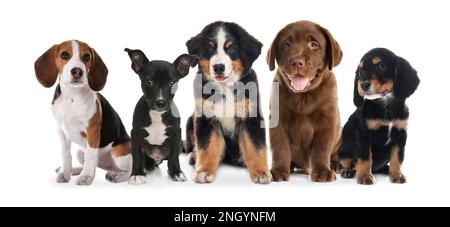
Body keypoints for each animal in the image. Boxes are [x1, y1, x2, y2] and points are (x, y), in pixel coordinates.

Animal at [34, 40, 132, 185]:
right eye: (64, 55)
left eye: (86, 57)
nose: (77, 71)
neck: (72, 96)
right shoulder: (61, 130)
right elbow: (66, 154)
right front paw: (65, 172)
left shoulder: (92, 130)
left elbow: (91, 155)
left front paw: (86, 177)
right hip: (80, 153)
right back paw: (74, 170)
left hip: (119, 151)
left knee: (131, 170)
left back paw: (117, 176)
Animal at [125, 48, 198, 184]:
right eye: (149, 82)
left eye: (172, 83)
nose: (161, 102)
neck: (157, 115)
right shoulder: (135, 133)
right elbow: (137, 155)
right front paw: (137, 174)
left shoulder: (177, 133)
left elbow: (174, 157)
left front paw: (176, 172)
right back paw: (146, 167)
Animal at [182, 21, 270, 184]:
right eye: (210, 47)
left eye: (231, 48)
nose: (218, 67)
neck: (225, 88)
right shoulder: (206, 118)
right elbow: (207, 147)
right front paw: (204, 171)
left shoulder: (251, 116)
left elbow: (255, 147)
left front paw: (261, 172)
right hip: (191, 120)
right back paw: (194, 155)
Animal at [340, 48, 420, 184]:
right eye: (360, 71)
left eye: (381, 67)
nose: (363, 85)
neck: (386, 105)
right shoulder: (364, 135)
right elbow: (365, 158)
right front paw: (365, 176)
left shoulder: (400, 134)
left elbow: (397, 158)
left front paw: (396, 175)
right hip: (343, 150)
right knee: (346, 162)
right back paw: (348, 171)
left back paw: (387, 170)